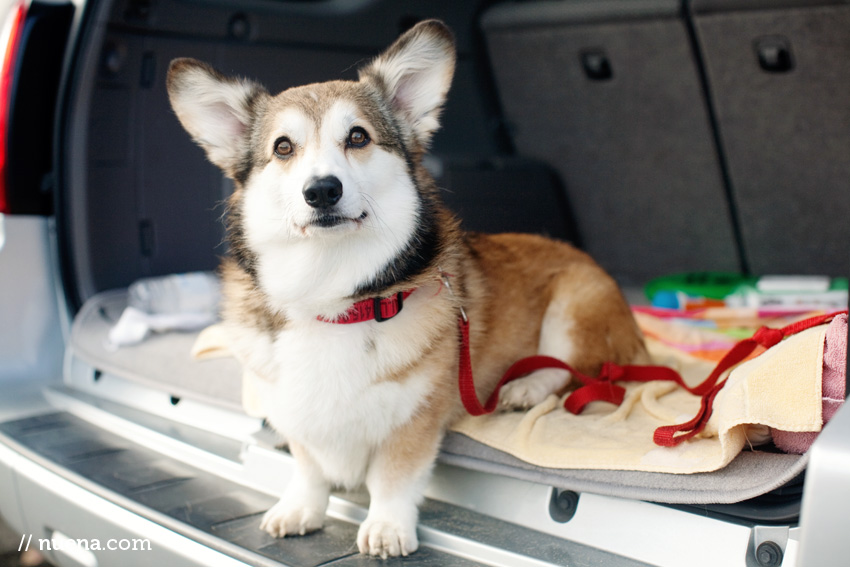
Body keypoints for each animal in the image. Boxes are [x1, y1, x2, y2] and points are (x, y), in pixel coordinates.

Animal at [164, 18, 644, 560]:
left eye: (358, 137)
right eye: (283, 147)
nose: (322, 190)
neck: (333, 296)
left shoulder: (414, 418)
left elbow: (393, 477)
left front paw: (387, 528)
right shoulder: (295, 410)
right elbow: (309, 467)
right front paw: (299, 509)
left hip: (573, 308)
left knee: (573, 368)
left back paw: (524, 387)